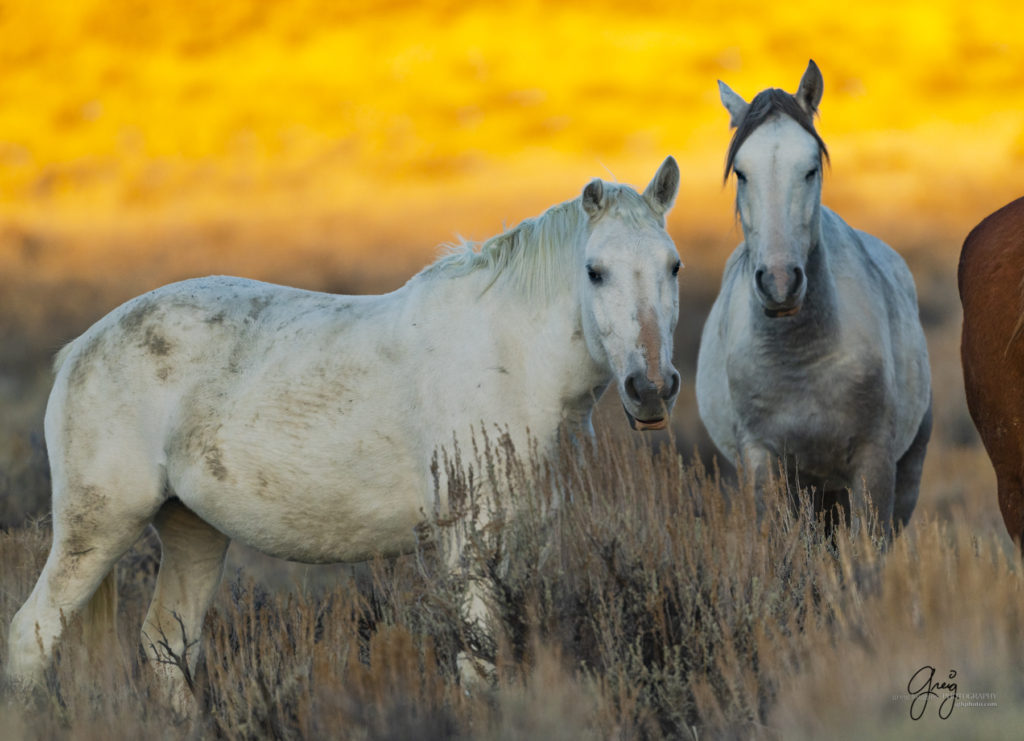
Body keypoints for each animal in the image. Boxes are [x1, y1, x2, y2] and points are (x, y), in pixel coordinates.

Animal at [8, 156, 684, 700]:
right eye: (595, 271)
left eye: (674, 267)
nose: (651, 388)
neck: (511, 359)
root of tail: (82, 346)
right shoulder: (467, 545)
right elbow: (479, 666)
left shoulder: (529, 538)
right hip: (97, 528)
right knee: (30, 638)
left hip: (192, 528)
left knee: (167, 645)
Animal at [696, 62, 929, 540]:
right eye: (741, 173)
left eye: (810, 169)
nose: (779, 283)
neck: (802, 359)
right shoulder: (763, 463)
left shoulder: (874, 466)